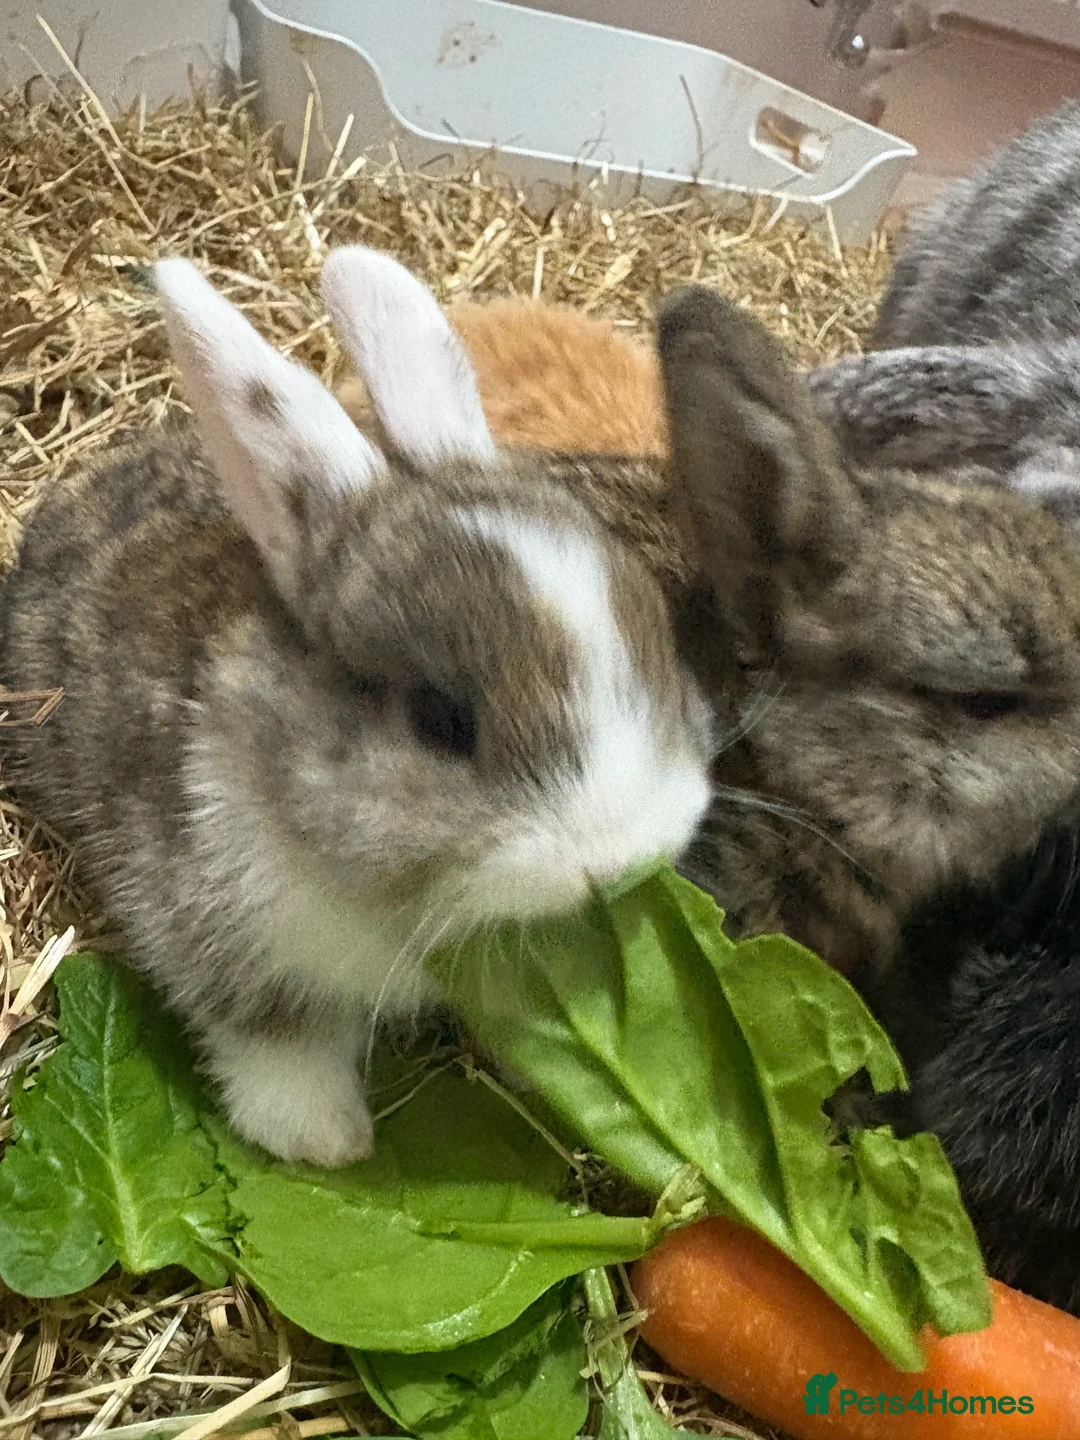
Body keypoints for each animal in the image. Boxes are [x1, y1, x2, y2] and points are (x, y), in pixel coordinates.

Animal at [0, 246, 716, 1168]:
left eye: (657, 637)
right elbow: (274, 1035)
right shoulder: (215, 930)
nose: (625, 859)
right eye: (441, 721)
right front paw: (324, 1140)